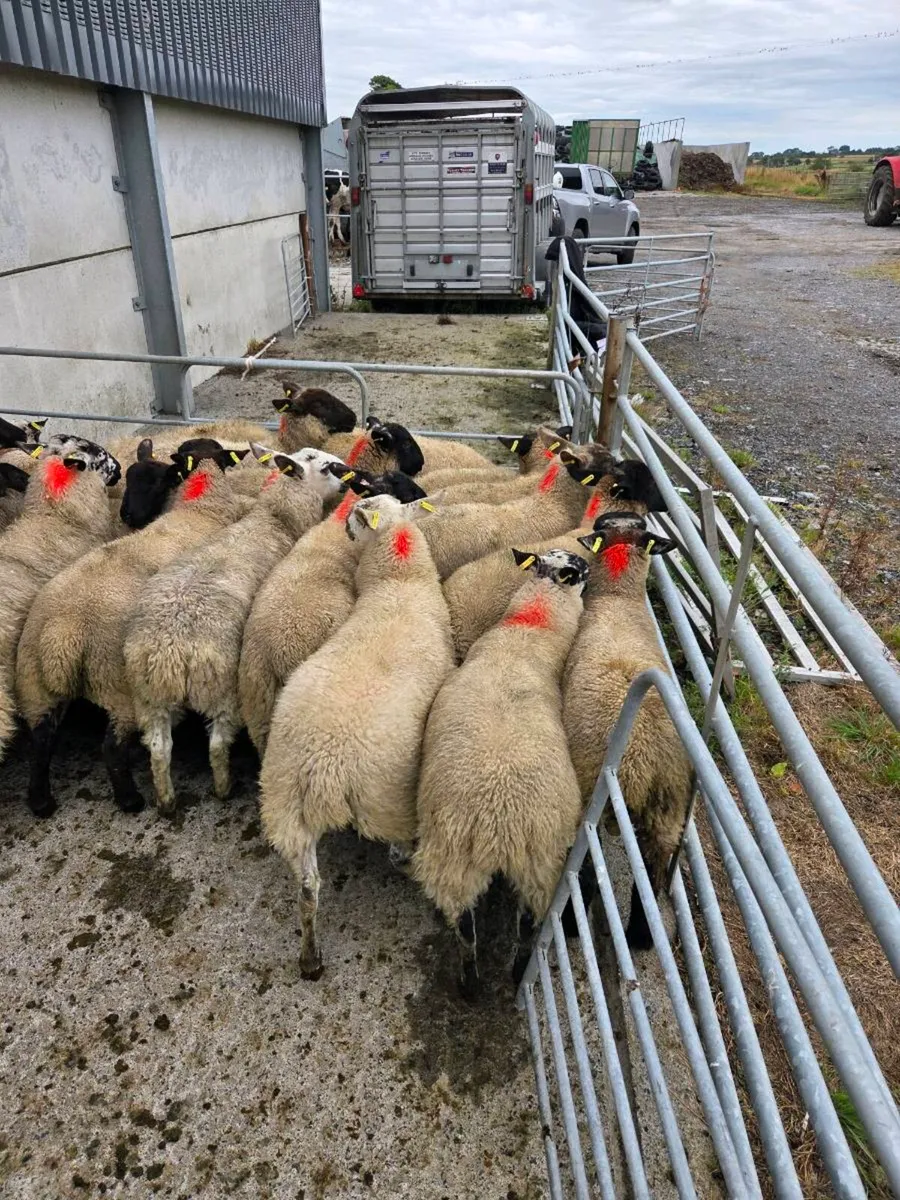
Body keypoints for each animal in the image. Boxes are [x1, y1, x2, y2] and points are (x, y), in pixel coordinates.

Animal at [15, 451, 247, 817]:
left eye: (156, 481)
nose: (129, 515)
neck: (197, 511)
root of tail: (63, 635)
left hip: (35, 683)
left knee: (40, 742)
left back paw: (41, 802)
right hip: (116, 685)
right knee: (112, 747)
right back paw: (130, 799)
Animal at [123, 448, 344, 814]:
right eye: (325, 468)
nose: (346, 485)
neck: (271, 520)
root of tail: (172, 649)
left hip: (150, 696)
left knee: (158, 748)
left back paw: (167, 800)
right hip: (222, 689)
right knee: (216, 744)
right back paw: (224, 787)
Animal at [259, 493, 454, 979]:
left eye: (356, 516)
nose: (345, 529)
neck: (399, 584)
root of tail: (325, 767)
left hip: (284, 805)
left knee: (308, 888)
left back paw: (310, 958)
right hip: (388, 798)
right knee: (395, 851)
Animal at [412, 548, 590, 993]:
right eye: (580, 571)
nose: (592, 568)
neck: (525, 632)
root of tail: (499, 825)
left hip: (490, 865)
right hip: (531, 862)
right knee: (508, 929)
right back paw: (493, 978)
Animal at [564, 511, 687, 950]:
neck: (618, 599)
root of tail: (640, 763)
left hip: (591, 800)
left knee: (586, 871)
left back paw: (571, 926)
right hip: (668, 816)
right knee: (649, 879)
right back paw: (641, 937)